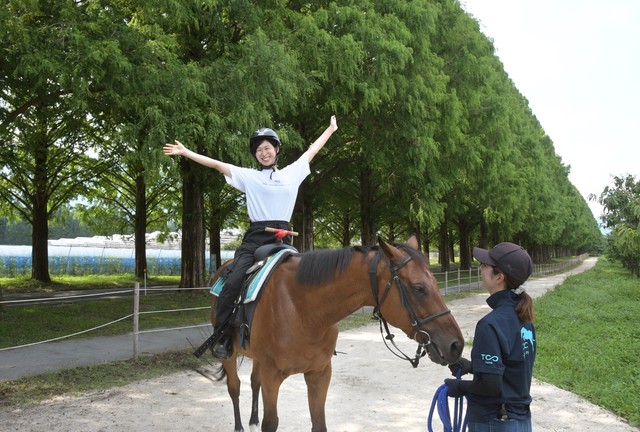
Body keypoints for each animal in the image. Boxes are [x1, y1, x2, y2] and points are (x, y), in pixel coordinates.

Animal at [210, 236, 464, 432]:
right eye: (418, 288)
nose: (456, 345)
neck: (301, 309)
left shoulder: (319, 374)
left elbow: (319, 424)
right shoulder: (272, 375)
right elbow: (270, 422)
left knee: (254, 382)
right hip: (230, 354)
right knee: (235, 387)